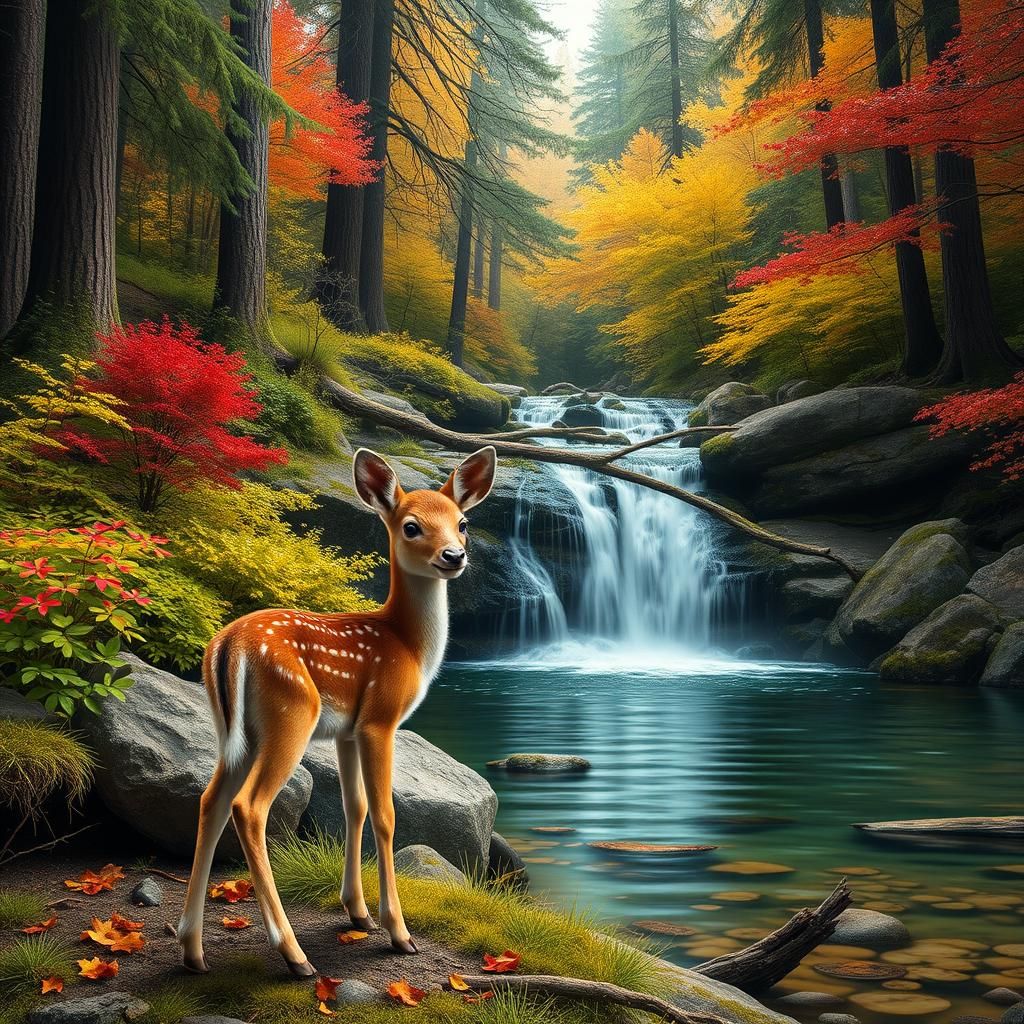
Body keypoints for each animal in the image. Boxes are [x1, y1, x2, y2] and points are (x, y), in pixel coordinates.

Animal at [176, 446, 498, 977]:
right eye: (411, 526)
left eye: (464, 522)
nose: (454, 556)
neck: (407, 646)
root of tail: (227, 646)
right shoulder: (379, 719)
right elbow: (385, 814)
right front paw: (398, 932)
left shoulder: (347, 731)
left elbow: (355, 807)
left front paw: (358, 912)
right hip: (291, 714)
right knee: (249, 806)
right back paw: (294, 956)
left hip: (236, 733)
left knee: (210, 799)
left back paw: (193, 951)